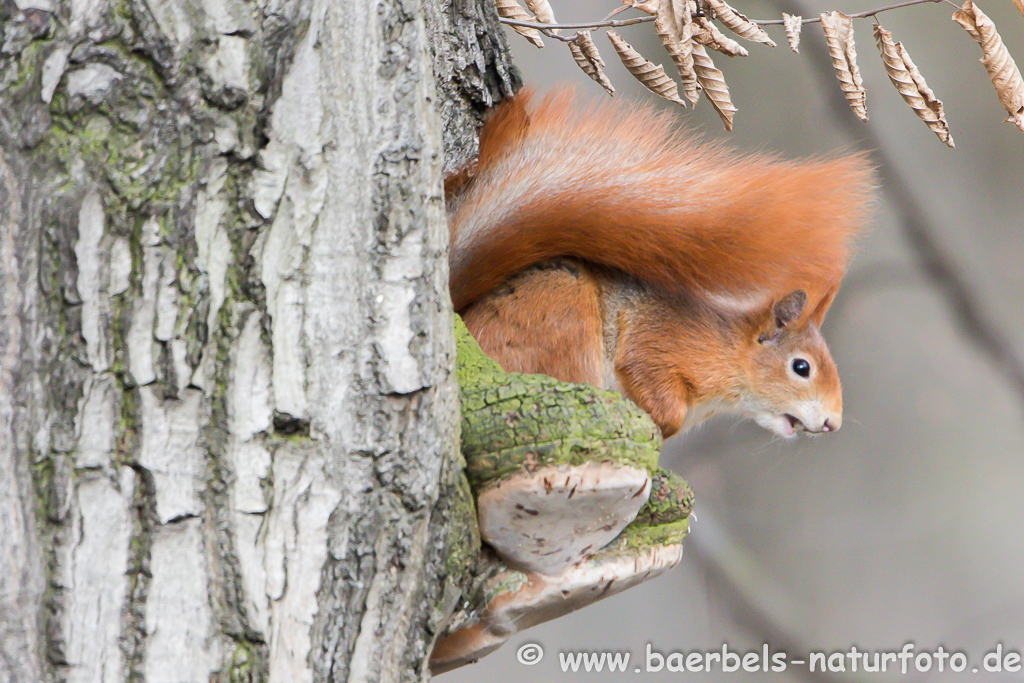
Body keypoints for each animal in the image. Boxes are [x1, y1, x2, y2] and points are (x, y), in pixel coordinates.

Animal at [446, 89, 872, 438]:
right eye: (801, 368)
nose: (832, 423)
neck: (728, 348)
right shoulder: (659, 343)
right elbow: (645, 372)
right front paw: (663, 419)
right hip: (563, 320)